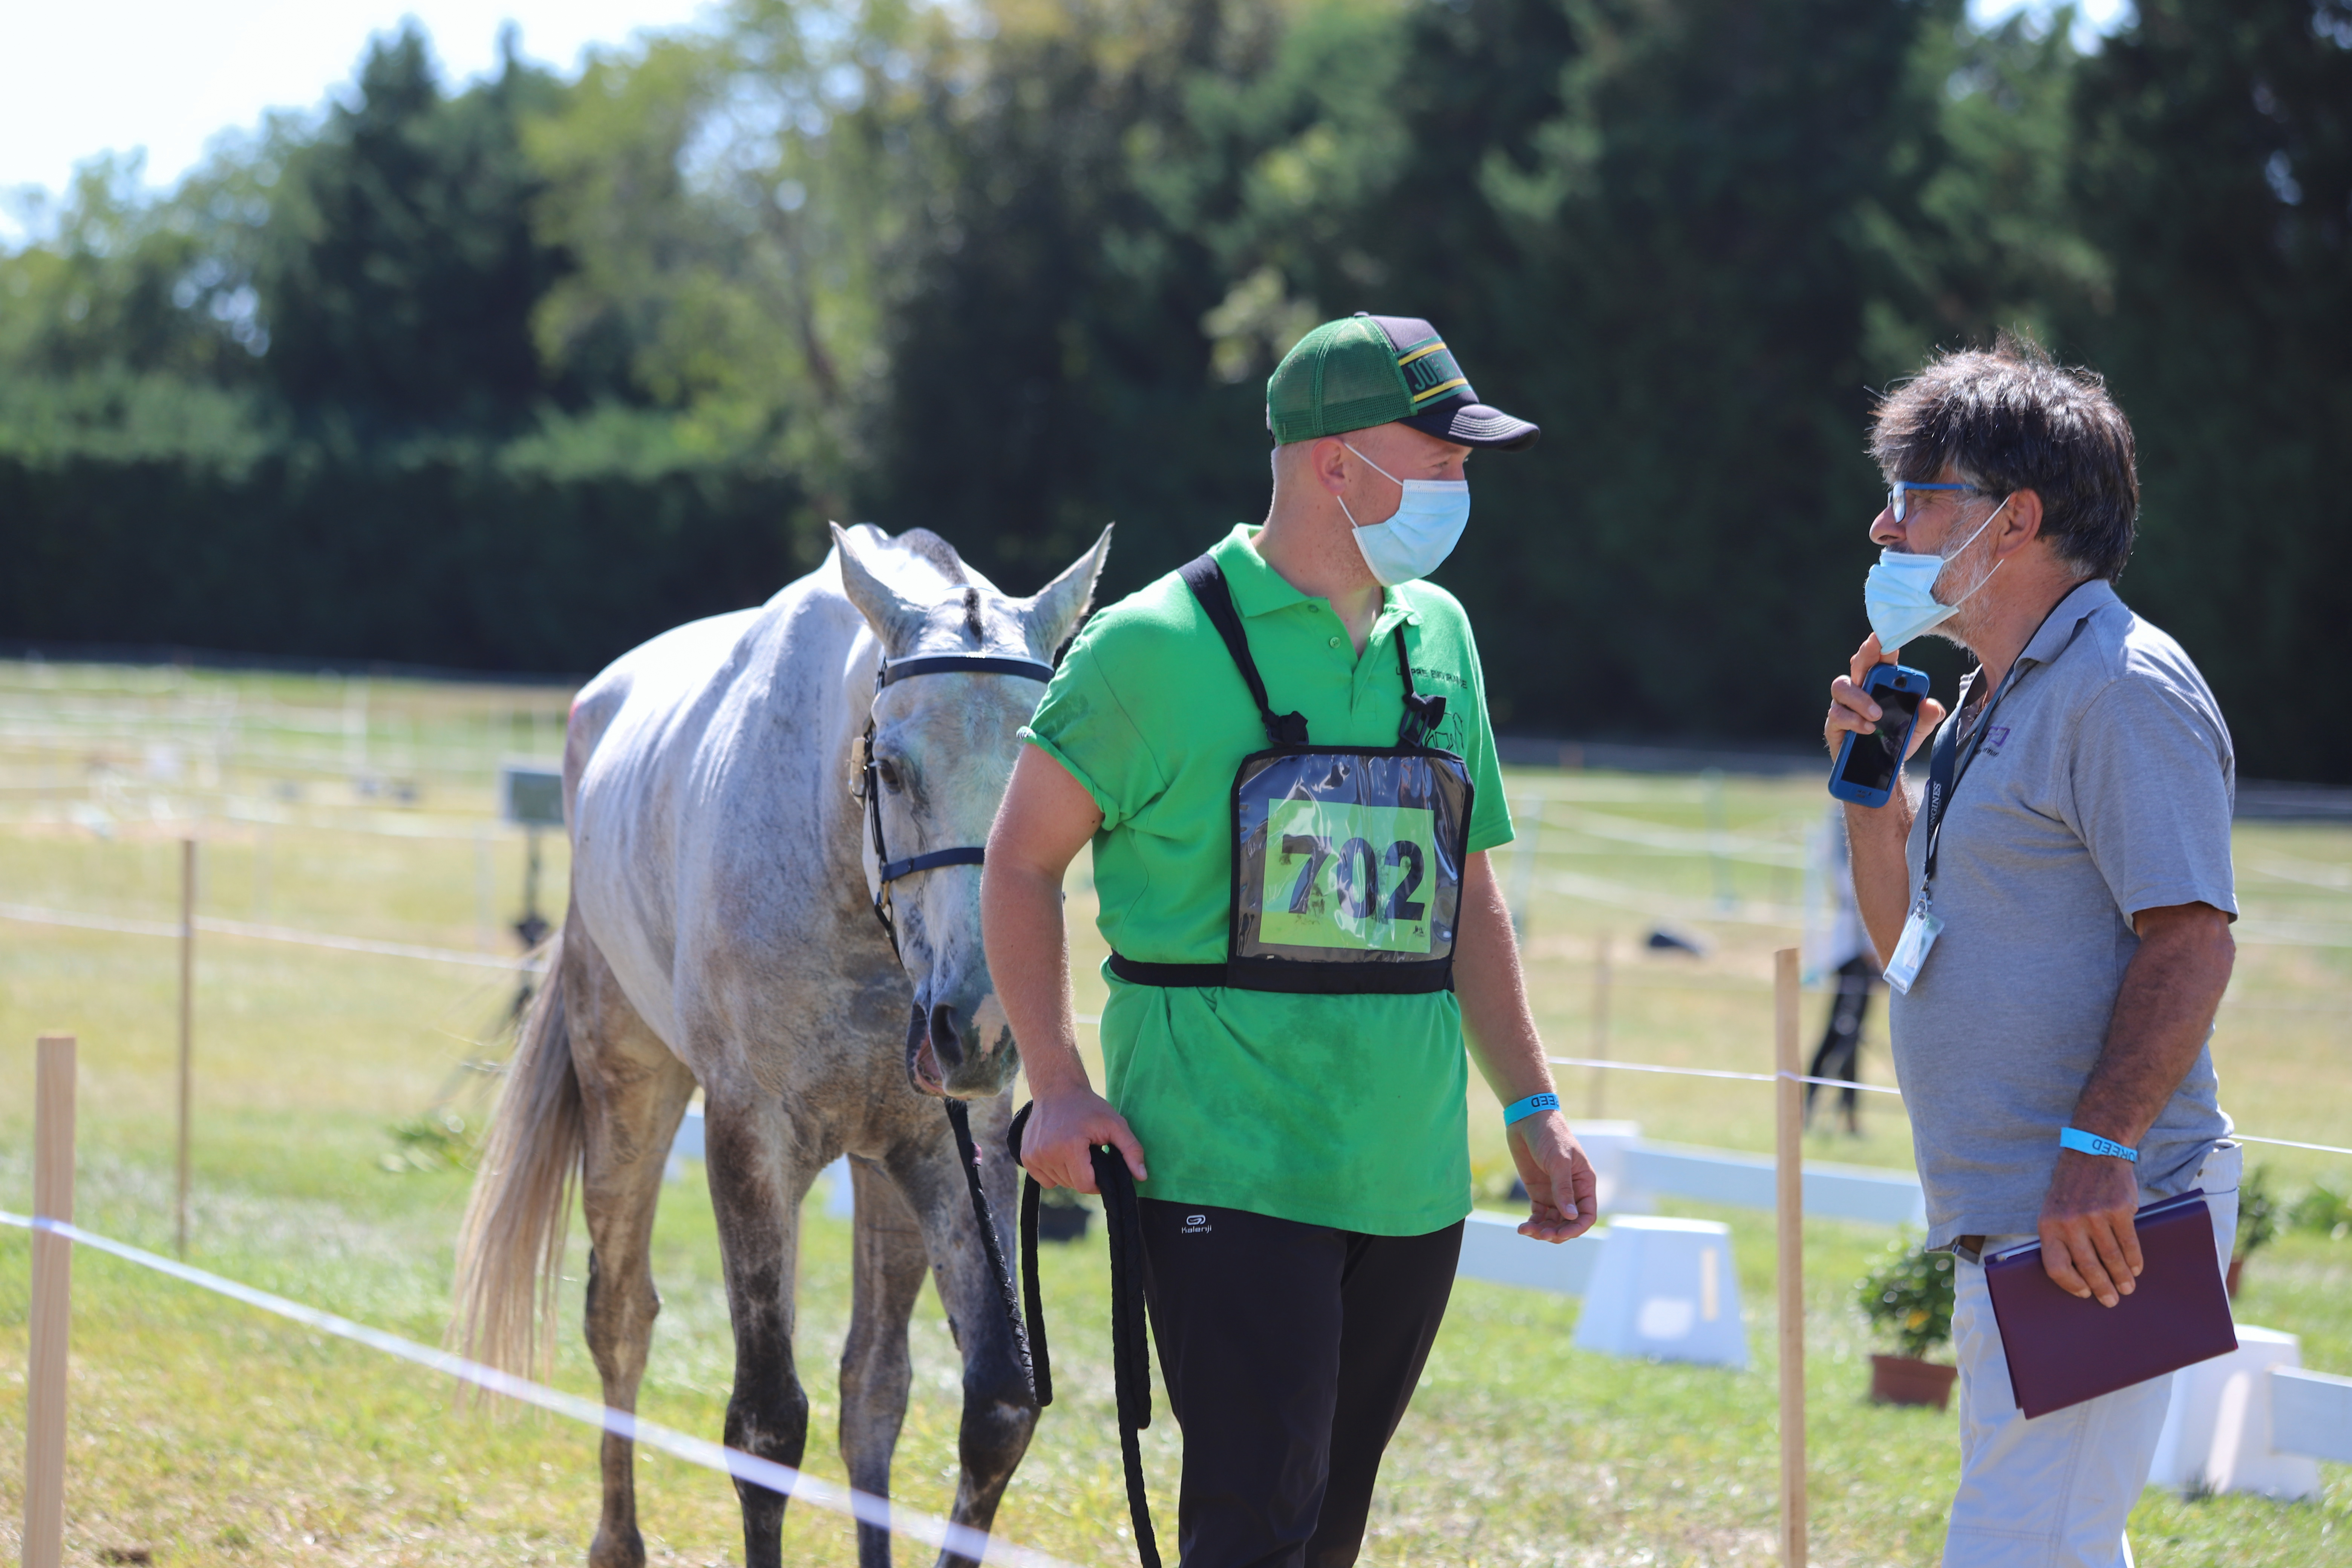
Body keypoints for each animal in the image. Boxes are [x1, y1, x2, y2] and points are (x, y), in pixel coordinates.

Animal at [463, 524, 1115, 1568]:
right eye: (892, 767)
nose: (979, 1024)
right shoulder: (751, 1142)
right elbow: (767, 1426)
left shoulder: (952, 1150)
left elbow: (994, 1411)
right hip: (629, 1083)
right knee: (619, 1316)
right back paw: (618, 1539)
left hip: (886, 1171)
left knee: (873, 1387)